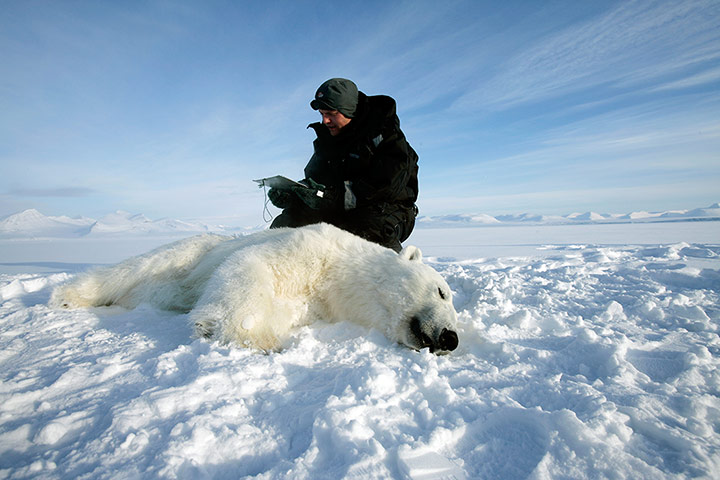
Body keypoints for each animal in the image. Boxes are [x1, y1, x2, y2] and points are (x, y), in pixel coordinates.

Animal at [50, 223, 459, 353]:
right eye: (442, 291)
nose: (450, 337)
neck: (340, 271)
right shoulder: (309, 248)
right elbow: (251, 266)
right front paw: (251, 335)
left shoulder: (319, 302)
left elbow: (286, 308)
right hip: (193, 252)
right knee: (137, 268)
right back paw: (68, 296)